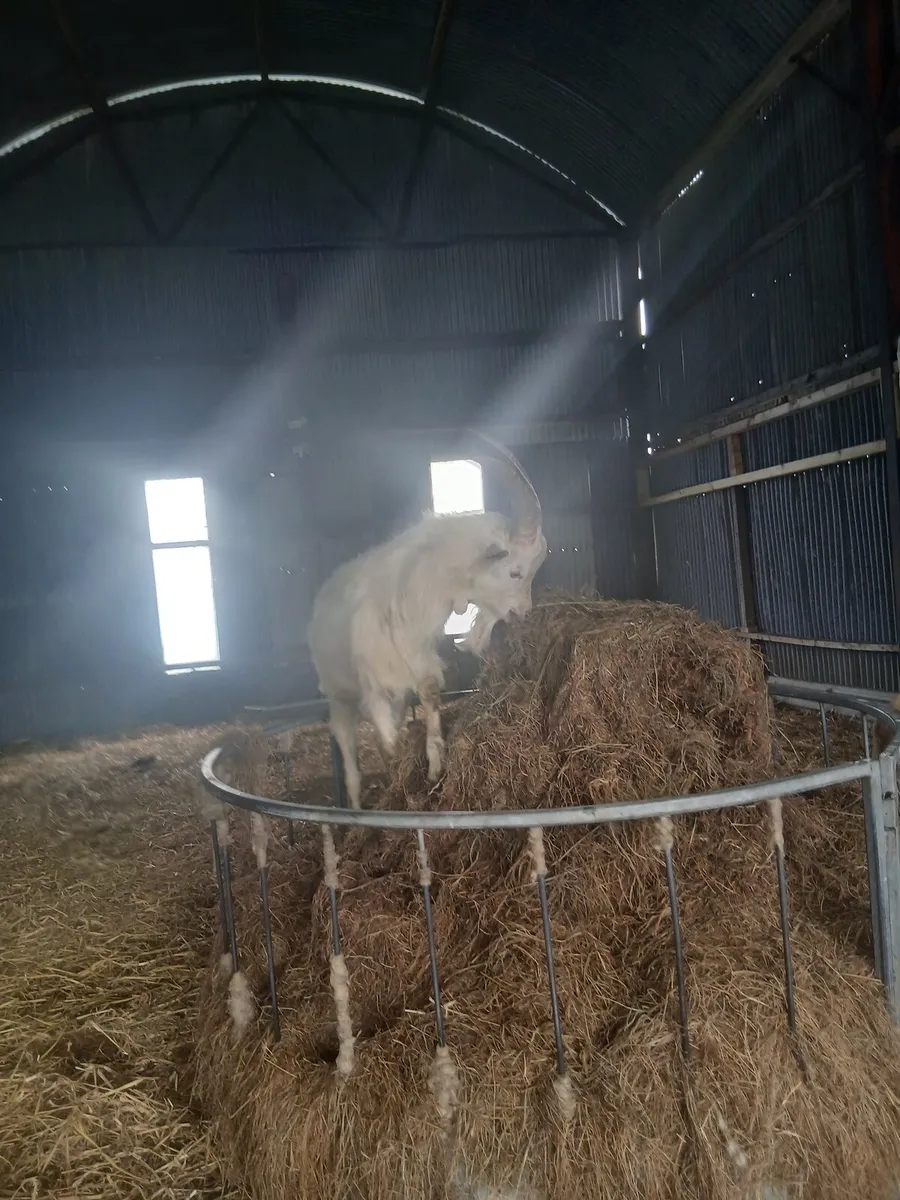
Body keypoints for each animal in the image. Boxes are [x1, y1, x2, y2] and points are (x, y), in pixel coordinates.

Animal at [307, 438, 547, 808]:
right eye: (515, 572)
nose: (523, 613)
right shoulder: (375, 687)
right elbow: (387, 746)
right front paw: (398, 787)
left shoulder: (420, 661)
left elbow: (430, 703)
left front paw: (435, 769)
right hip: (339, 695)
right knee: (349, 757)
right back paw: (357, 807)